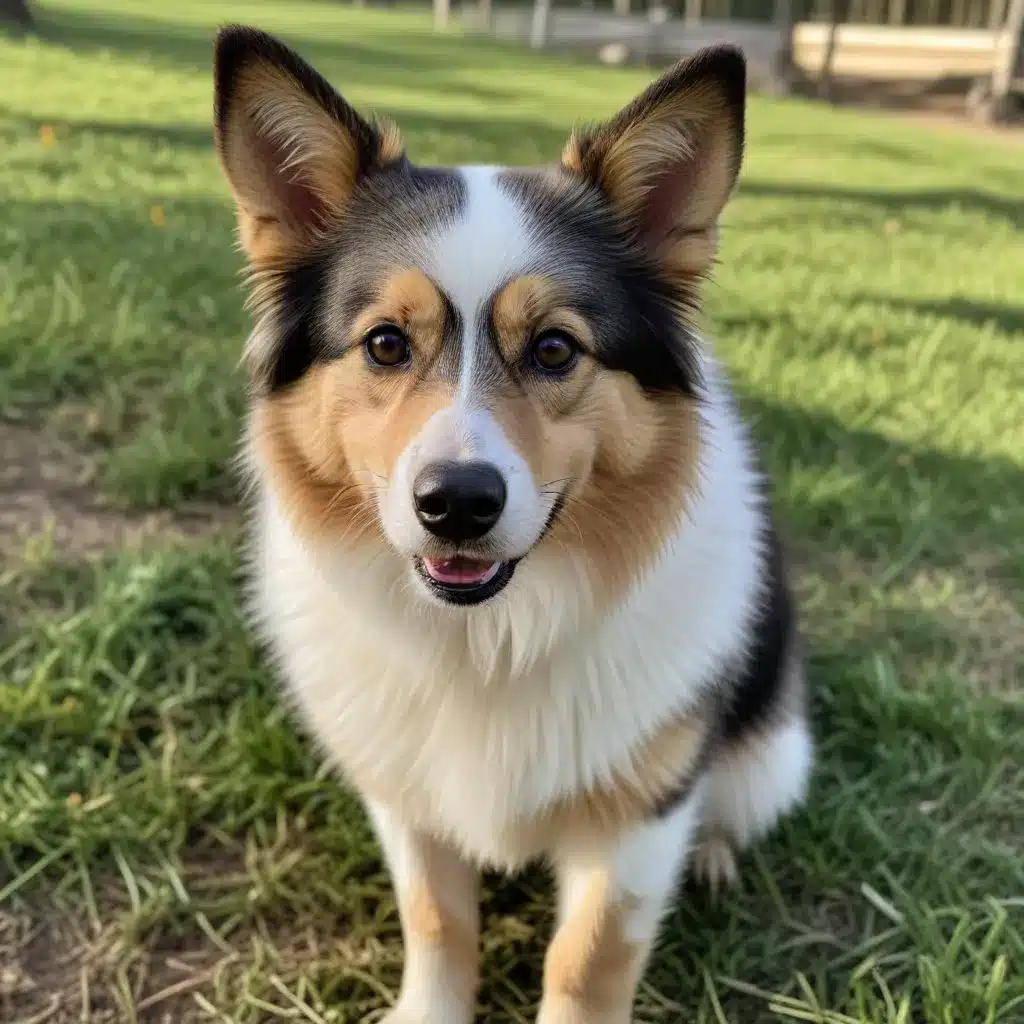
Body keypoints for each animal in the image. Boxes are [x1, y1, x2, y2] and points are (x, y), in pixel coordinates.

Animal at [211, 25, 811, 1024]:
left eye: (556, 349)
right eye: (385, 343)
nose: (456, 502)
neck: (488, 638)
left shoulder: (640, 819)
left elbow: (588, 958)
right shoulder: (405, 794)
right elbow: (437, 919)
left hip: (773, 751)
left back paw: (718, 855)